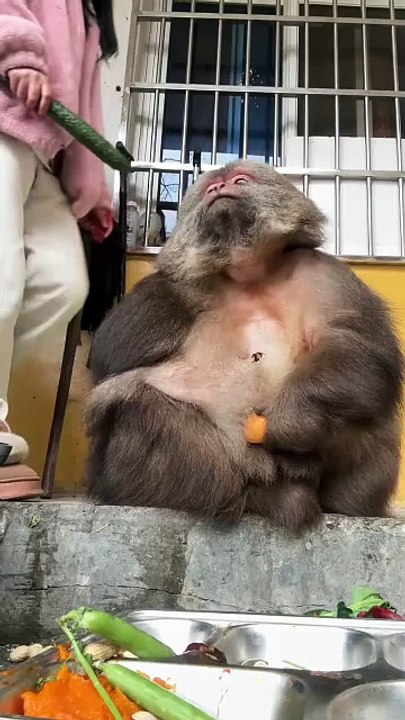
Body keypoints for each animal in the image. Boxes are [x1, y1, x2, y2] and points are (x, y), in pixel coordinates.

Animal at [85, 160, 404, 532]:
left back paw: (326, 492)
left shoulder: (324, 274)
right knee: (134, 405)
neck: (251, 274)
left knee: (369, 407)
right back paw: (261, 498)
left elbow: (353, 342)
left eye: (239, 180)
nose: (221, 189)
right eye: (211, 188)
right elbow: (110, 355)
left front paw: (294, 416)